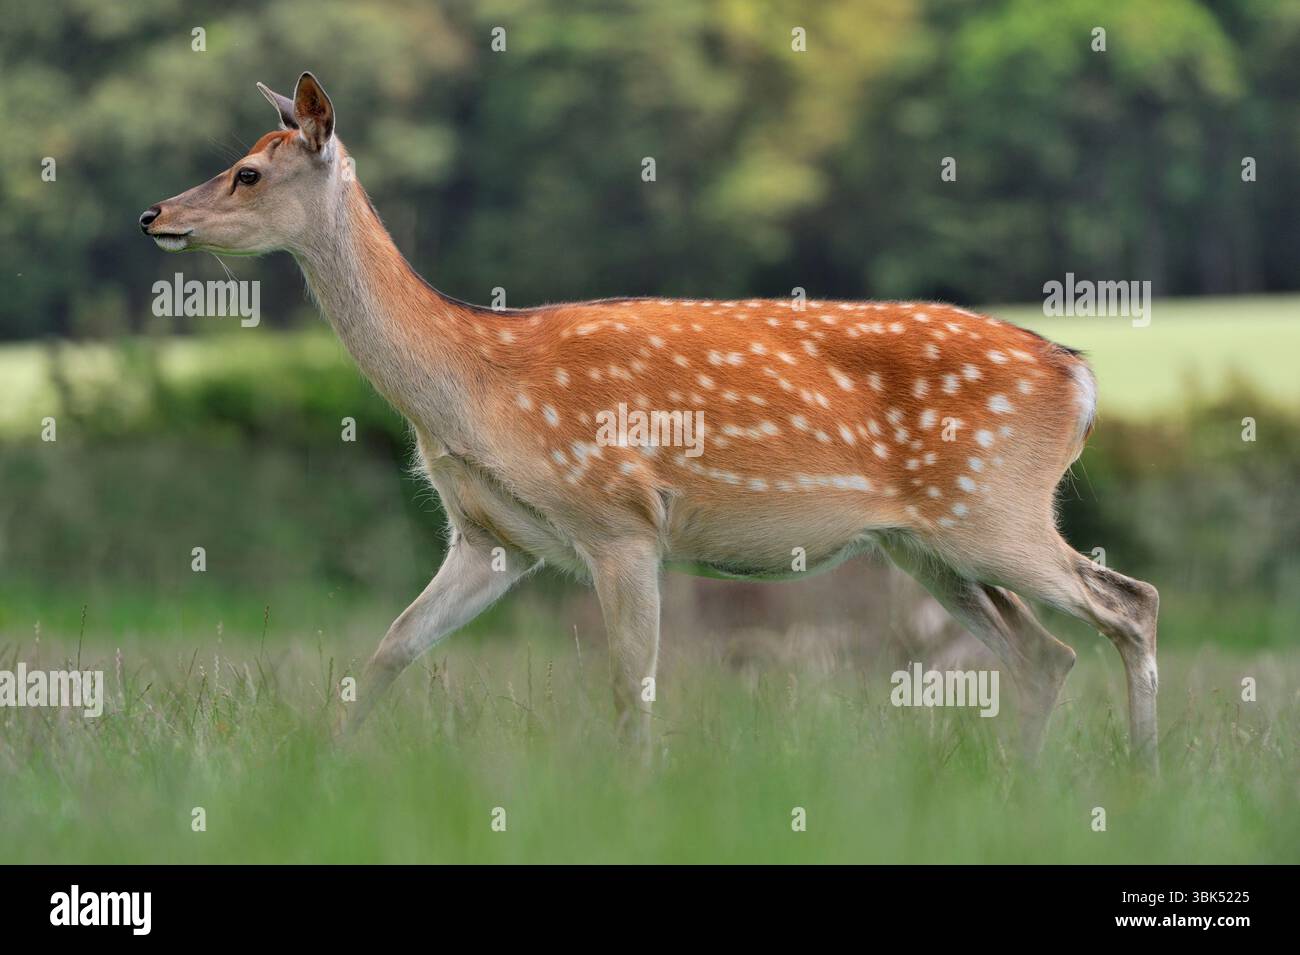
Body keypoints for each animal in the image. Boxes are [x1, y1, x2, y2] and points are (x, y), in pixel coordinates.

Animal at [139, 73, 1160, 768]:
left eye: (247, 172)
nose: (153, 214)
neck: (474, 384)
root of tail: (1077, 375)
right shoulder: (491, 538)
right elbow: (390, 647)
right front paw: (325, 769)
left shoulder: (620, 518)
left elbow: (631, 691)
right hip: (927, 544)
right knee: (1043, 652)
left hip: (993, 505)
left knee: (1129, 601)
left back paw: (1140, 779)